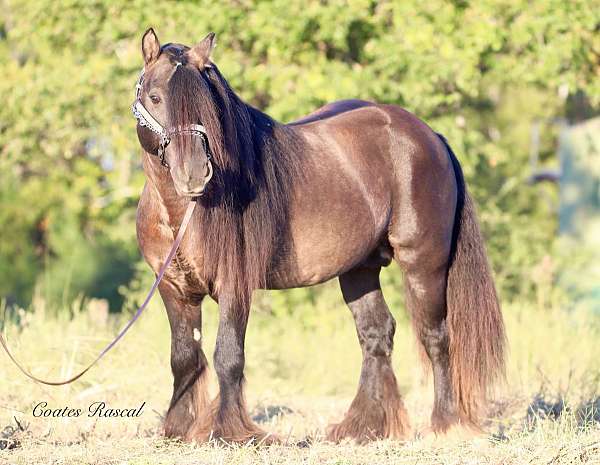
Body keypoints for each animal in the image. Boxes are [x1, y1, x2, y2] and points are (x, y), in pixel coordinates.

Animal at [134, 28, 504, 442]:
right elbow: (184, 358)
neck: (180, 215)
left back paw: (446, 424)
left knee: (435, 336)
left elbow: (228, 355)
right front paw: (177, 429)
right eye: (155, 97)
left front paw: (231, 432)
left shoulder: (235, 285)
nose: (195, 174)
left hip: (424, 263)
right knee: (377, 334)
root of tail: (430, 136)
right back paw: (364, 427)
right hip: (359, 270)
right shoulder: (173, 289)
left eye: (207, 104)